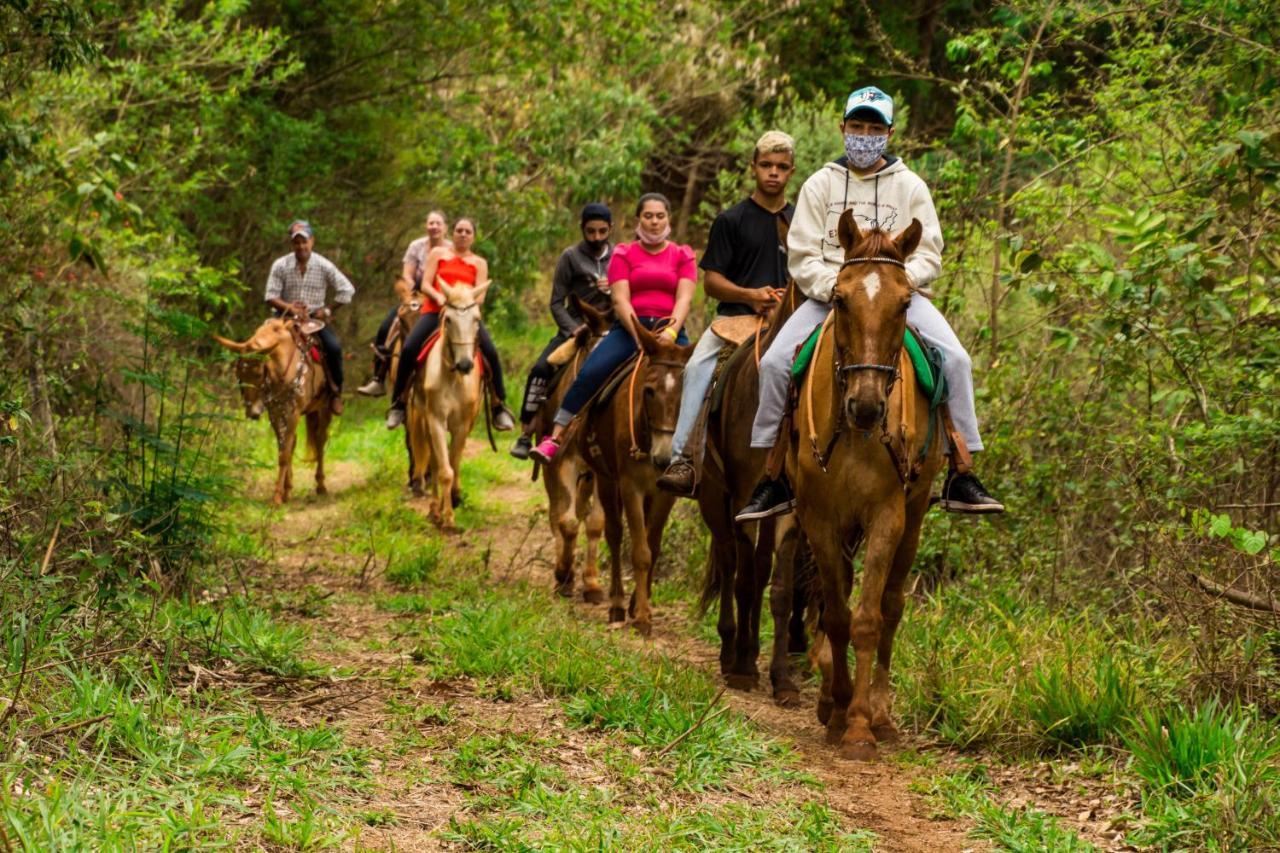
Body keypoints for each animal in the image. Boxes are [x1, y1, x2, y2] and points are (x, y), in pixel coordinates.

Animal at [215, 315, 335, 502]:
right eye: (239, 376)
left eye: (258, 374)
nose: (253, 412)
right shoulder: (275, 412)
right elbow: (284, 448)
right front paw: (286, 490)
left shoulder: (293, 412)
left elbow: (284, 454)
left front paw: (277, 497)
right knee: (297, 442)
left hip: (324, 408)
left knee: (320, 440)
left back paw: (321, 485)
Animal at [407, 279, 486, 532]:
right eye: (448, 319)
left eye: (476, 319)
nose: (465, 364)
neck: (453, 378)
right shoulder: (436, 422)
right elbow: (443, 470)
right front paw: (446, 516)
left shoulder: (462, 425)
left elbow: (453, 464)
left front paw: (451, 508)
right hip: (426, 421)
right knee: (433, 462)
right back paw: (434, 509)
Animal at [527, 295, 611, 601]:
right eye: (589, 353)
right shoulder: (562, 465)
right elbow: (567, 522)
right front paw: (564, 575)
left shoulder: (600, 473)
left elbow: (596, 522)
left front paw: (592, 584)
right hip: (552, 471)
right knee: (557, 515)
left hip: (586, 477)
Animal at [701, 279, 808, 701]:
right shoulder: (742, 497)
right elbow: (744, 582)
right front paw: (743, 670)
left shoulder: (789, 510)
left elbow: (780, 589)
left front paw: (782, 679)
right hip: (715, 500)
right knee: (731, 564)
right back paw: (731, 650)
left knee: (758, 568)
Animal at [783, 211, 947, 758]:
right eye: (839, 299)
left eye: (905, 303)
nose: (869, 406)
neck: (856, 433)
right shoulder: (820, 517)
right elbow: (835, 613)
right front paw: (835, 708)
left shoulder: (887, 516)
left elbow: (869, 617)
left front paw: (858, 724)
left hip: (913, 518)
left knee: (892, 606)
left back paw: (880, 713)